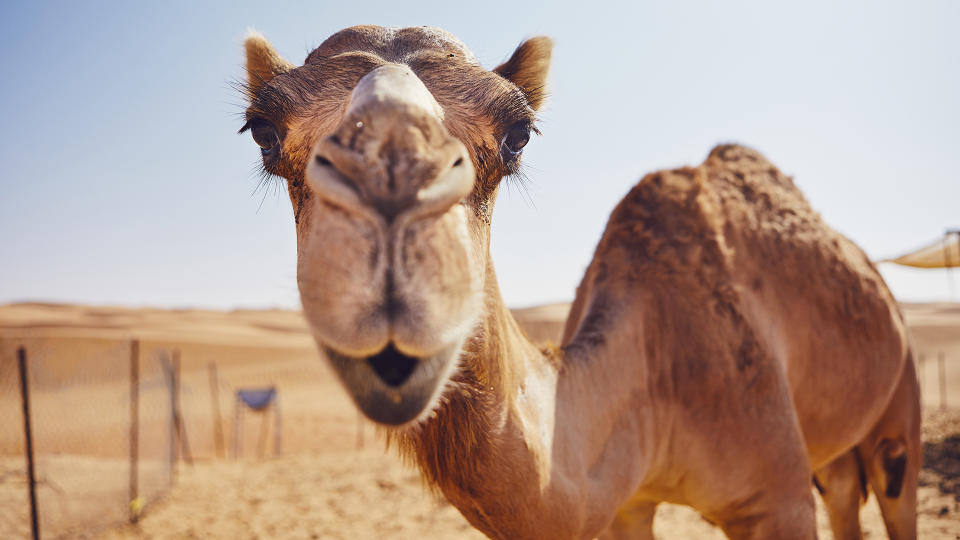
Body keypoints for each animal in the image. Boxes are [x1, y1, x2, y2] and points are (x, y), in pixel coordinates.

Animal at [240, 26, 924, 540]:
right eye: (264, 130)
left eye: (518, 134)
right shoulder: (625, 505)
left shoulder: (776, 499)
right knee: (845, 492)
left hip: (898, 409)